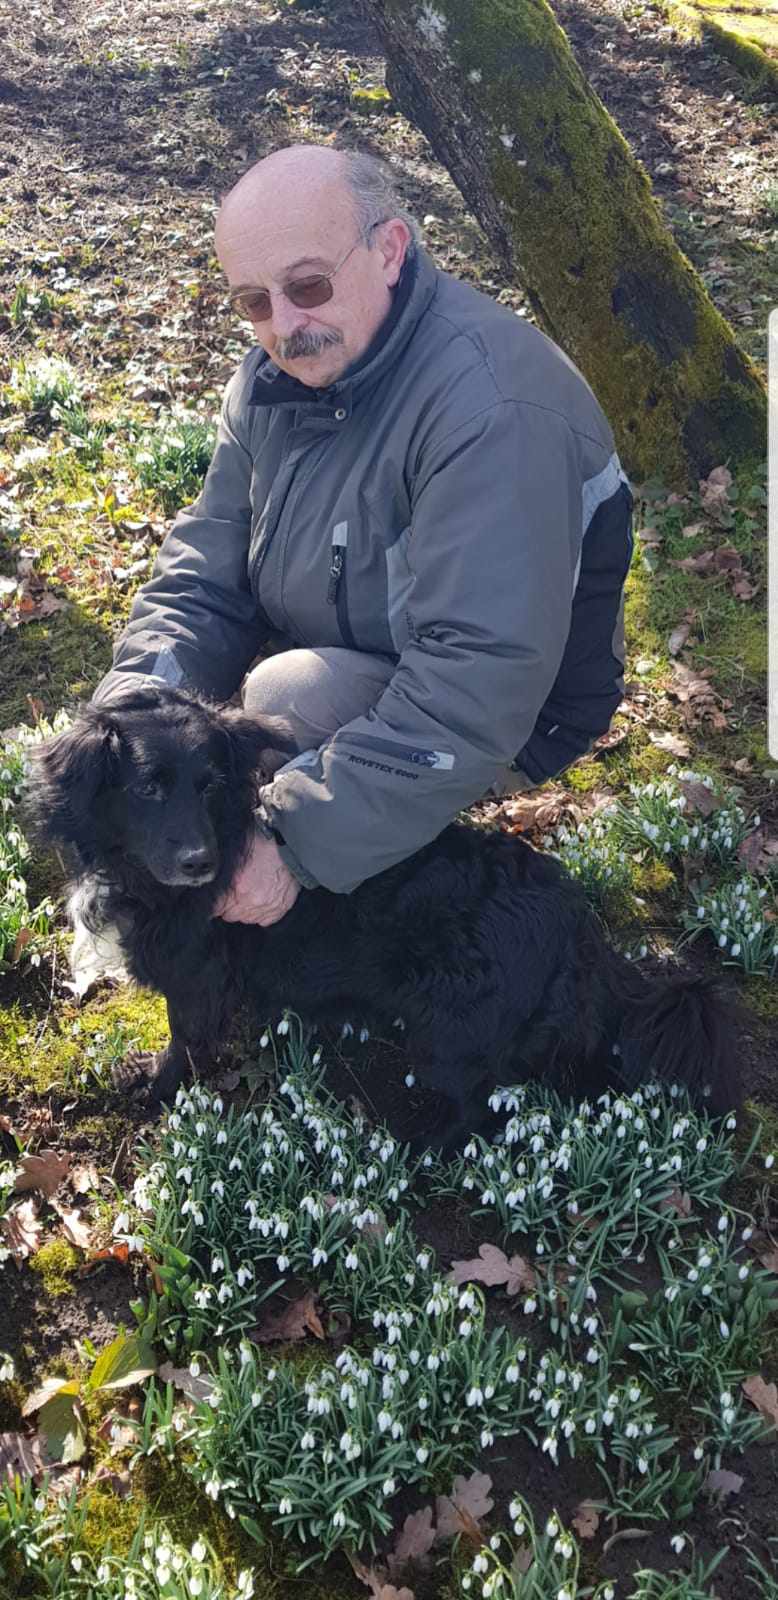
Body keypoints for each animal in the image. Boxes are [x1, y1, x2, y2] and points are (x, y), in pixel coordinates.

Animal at [27, 684, 741, 1152]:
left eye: (210, 785)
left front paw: (153, 1085)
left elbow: (183, 1040)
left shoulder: (196, 977)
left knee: (483, 1104)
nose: (201, 863)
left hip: (450, 1027)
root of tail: (578, 927)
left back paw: (425, 1147)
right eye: (148, 787)